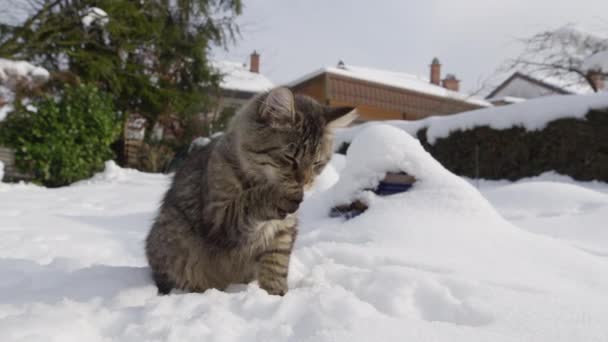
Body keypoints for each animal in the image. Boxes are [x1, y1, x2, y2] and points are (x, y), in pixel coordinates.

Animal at [145, 87, 358, 296]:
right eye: (290, 158)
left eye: (317, 163)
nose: (304, 182)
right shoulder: (217, 218)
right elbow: (248, 202)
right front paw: (277, 195)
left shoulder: (282, 233)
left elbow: (276, 267)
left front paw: (277, 296)